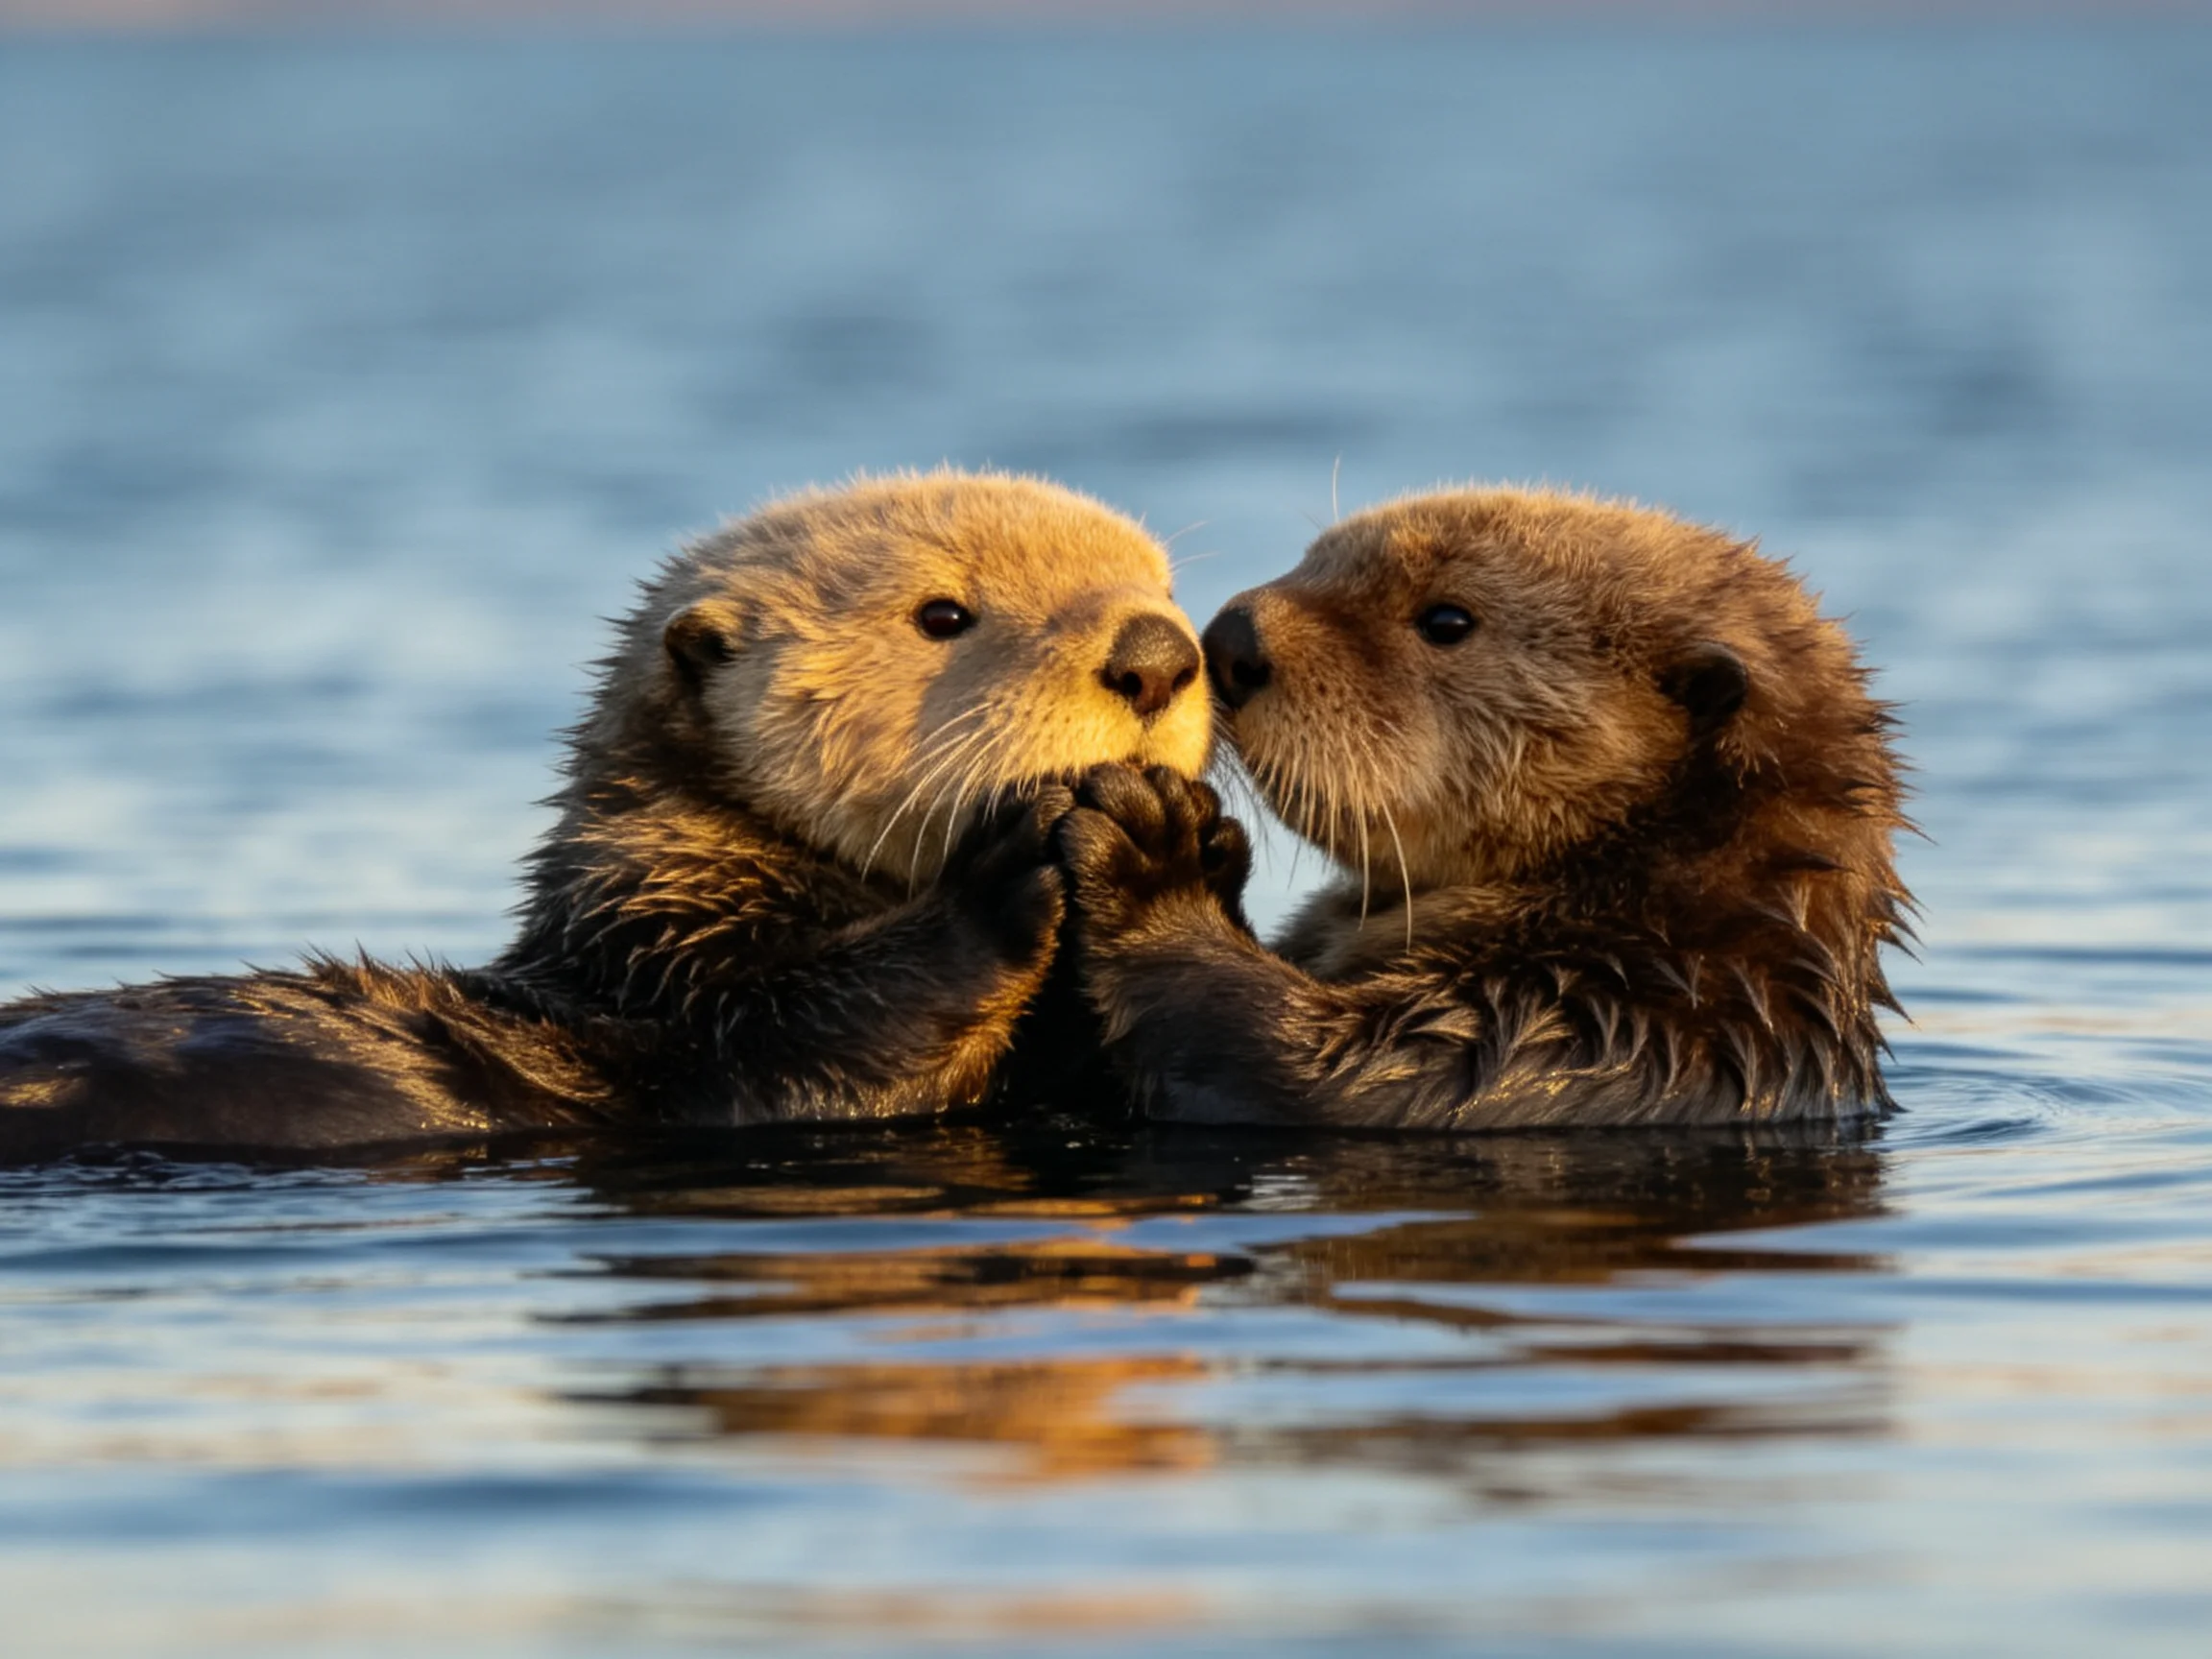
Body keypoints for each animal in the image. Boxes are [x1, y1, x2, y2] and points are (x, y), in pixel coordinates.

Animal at [0, 471, 1210, 1157]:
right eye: (944, 614)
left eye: (1165, 586)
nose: (1158, 655)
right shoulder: (687, 1003)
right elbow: (821, 1050)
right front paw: (1019, 863)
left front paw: (1175, 851)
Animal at [1052, 487, 1913, 1131]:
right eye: (1315, 560)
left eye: (1447, 621)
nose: (1231, 639)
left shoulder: (1568, 1037)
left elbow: (1296, 1065)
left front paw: (1160, 856)